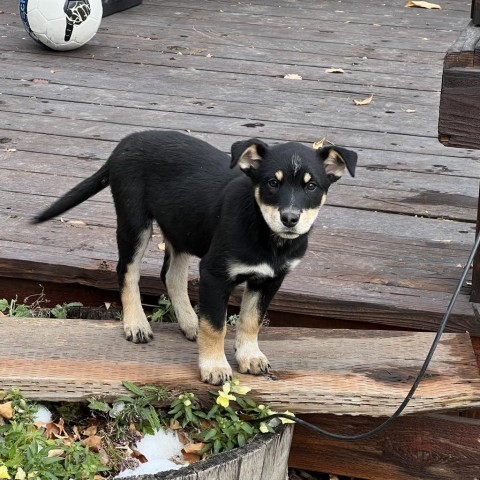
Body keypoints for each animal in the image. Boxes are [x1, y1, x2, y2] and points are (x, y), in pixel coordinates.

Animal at [33, 129, 356, 384]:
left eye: (311, 186)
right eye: (272, 183)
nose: (290, 219)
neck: (267, 236)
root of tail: (127, 141)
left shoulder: (271, 279)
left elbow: (251, 319)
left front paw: (249, 355)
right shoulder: (214, 274)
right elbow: (215, 326)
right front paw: (214, 366)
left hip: (181, 226)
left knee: (170, 275)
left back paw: (189, 322)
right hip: (135, 221)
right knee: (127, 270)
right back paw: (136, 324)